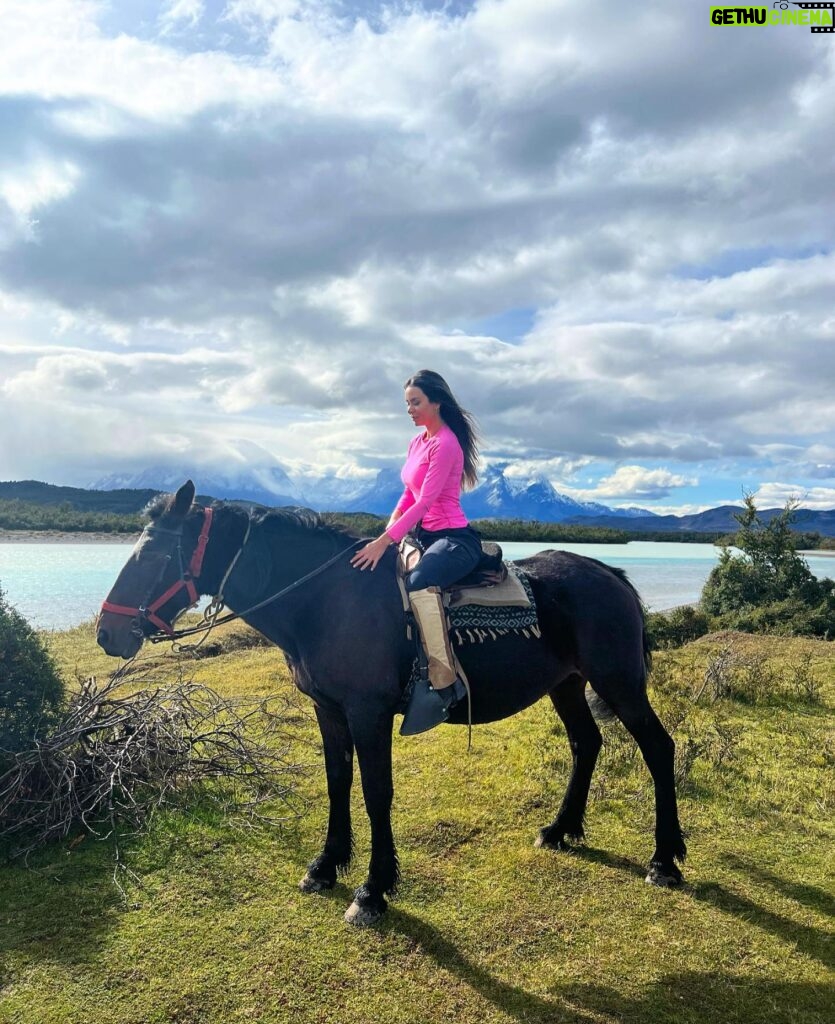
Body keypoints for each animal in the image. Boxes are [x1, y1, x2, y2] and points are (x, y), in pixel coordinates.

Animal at [96, 483, 684, 925]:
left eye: (153, 555)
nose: (106, 633)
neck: (324, 602)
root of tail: (610, 575)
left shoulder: (368, 713)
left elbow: (377, 793)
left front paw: (373, 890)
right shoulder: (329, 710)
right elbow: (338, 782)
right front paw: (326, 865)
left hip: (619, 682)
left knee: (658, 748)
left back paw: (666, 859)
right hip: (567, 685)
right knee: (587, 743)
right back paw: (562, 829)